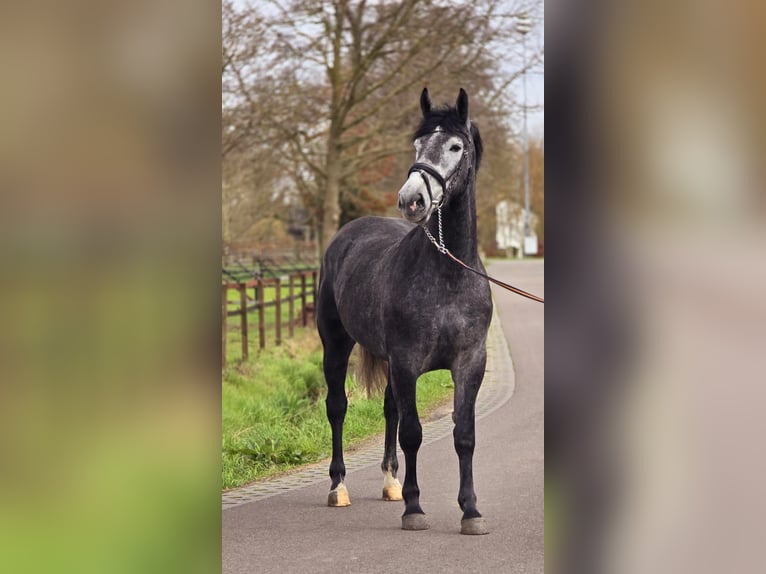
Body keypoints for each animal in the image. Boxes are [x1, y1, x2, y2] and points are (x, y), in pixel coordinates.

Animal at [316, 88, 492, 535]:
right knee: (337, 407)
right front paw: (414, 508)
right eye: (417, 143)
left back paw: (390, 482)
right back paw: (338, 487)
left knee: (389, 409)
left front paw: (471, 511)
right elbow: (412, 433)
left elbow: (465, 435)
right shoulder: (407, 362)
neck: (449, 274)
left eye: (455, 146)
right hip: (336, 347)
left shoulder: (470, 363)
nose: (411, 200)